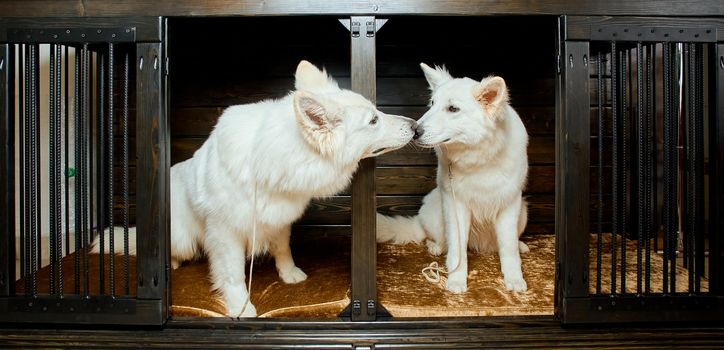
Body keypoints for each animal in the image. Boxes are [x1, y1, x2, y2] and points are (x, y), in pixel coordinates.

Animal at [93, 60, 416, 318]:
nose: (414, 125)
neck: (271, 160)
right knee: (176, 250)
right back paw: (171, 263)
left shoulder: (279, 218)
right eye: (373, 120)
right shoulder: (226, 233)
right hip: (183, 236)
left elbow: (283, 248)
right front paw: (240, 306)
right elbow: (234, 274)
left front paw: (289, 274)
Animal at [376, 63, 528, 292]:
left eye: (453, 109)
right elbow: (457, 249)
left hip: (523, 211)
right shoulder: (457, 206)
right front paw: (456, 281)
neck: (480, 158)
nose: (415, 130)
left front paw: (514, 279)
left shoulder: (510, 203)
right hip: (436, 209)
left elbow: (509, 248)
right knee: (441, 240)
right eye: (432, 103)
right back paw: (436, 247)